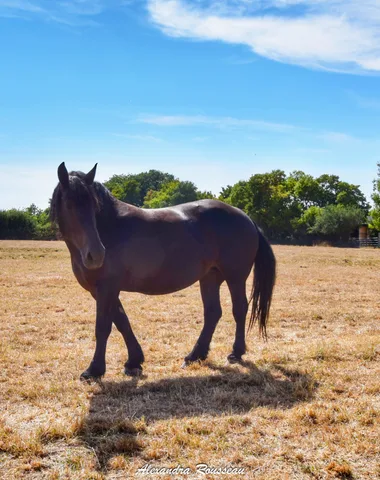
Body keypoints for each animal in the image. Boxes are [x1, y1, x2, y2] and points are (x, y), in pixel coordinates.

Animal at [50, 163, 276, 380]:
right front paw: (134, 361)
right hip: (210, 277)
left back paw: (236, 353)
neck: (110, 227)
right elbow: (122, 321)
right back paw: (195, 355)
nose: (96, 254)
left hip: (235, 277)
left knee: (239, 309)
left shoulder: (107, 288)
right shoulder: (99, 290)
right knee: (213, 312)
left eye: (93, 205)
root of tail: (246, 217)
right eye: (69, 205)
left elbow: (103, 327)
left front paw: (94, 370)